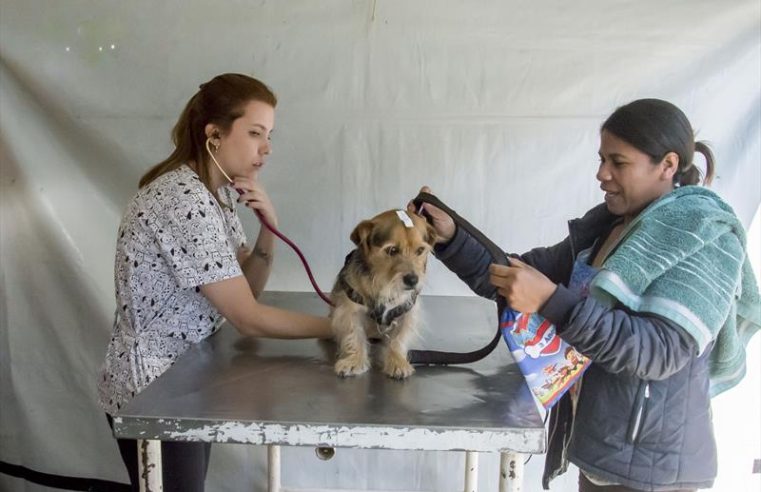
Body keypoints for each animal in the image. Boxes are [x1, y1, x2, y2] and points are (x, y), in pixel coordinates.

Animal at [332, 209, 436, 378]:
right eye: (392, 250)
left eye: (420, 250)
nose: (413, 280)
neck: (385, 283)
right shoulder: (350, 310)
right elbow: (354, 335)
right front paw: (354, 361)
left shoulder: (407, 313)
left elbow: (399, 339)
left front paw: (397, 361)